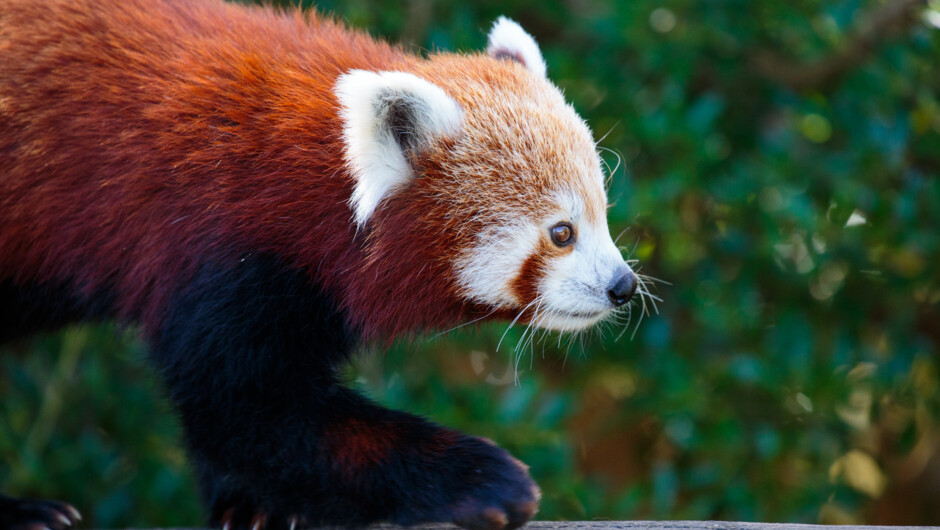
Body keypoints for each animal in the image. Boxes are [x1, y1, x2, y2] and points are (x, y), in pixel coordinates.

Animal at [0, 1, 640, 528]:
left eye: (603, 215)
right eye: (562, 233)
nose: (624, 286)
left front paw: (252, 509)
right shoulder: (218, 245)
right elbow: (246, 408)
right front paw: (481, 480)